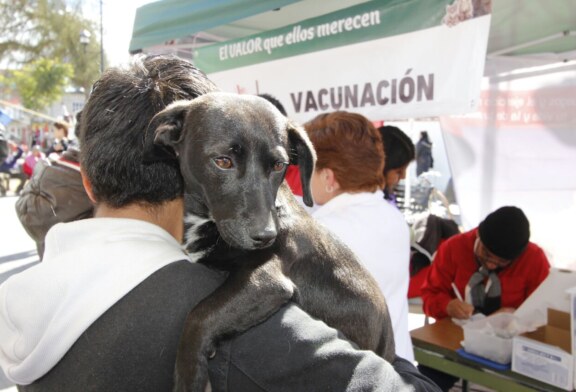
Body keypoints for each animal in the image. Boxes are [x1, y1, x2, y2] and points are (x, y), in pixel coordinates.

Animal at [146, 93, 394, 392]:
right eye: (223, 161)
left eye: (279, 166)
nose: (266, 236)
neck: (205, 220)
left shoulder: (266, 281)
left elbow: (199, 315)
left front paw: (190, 376)